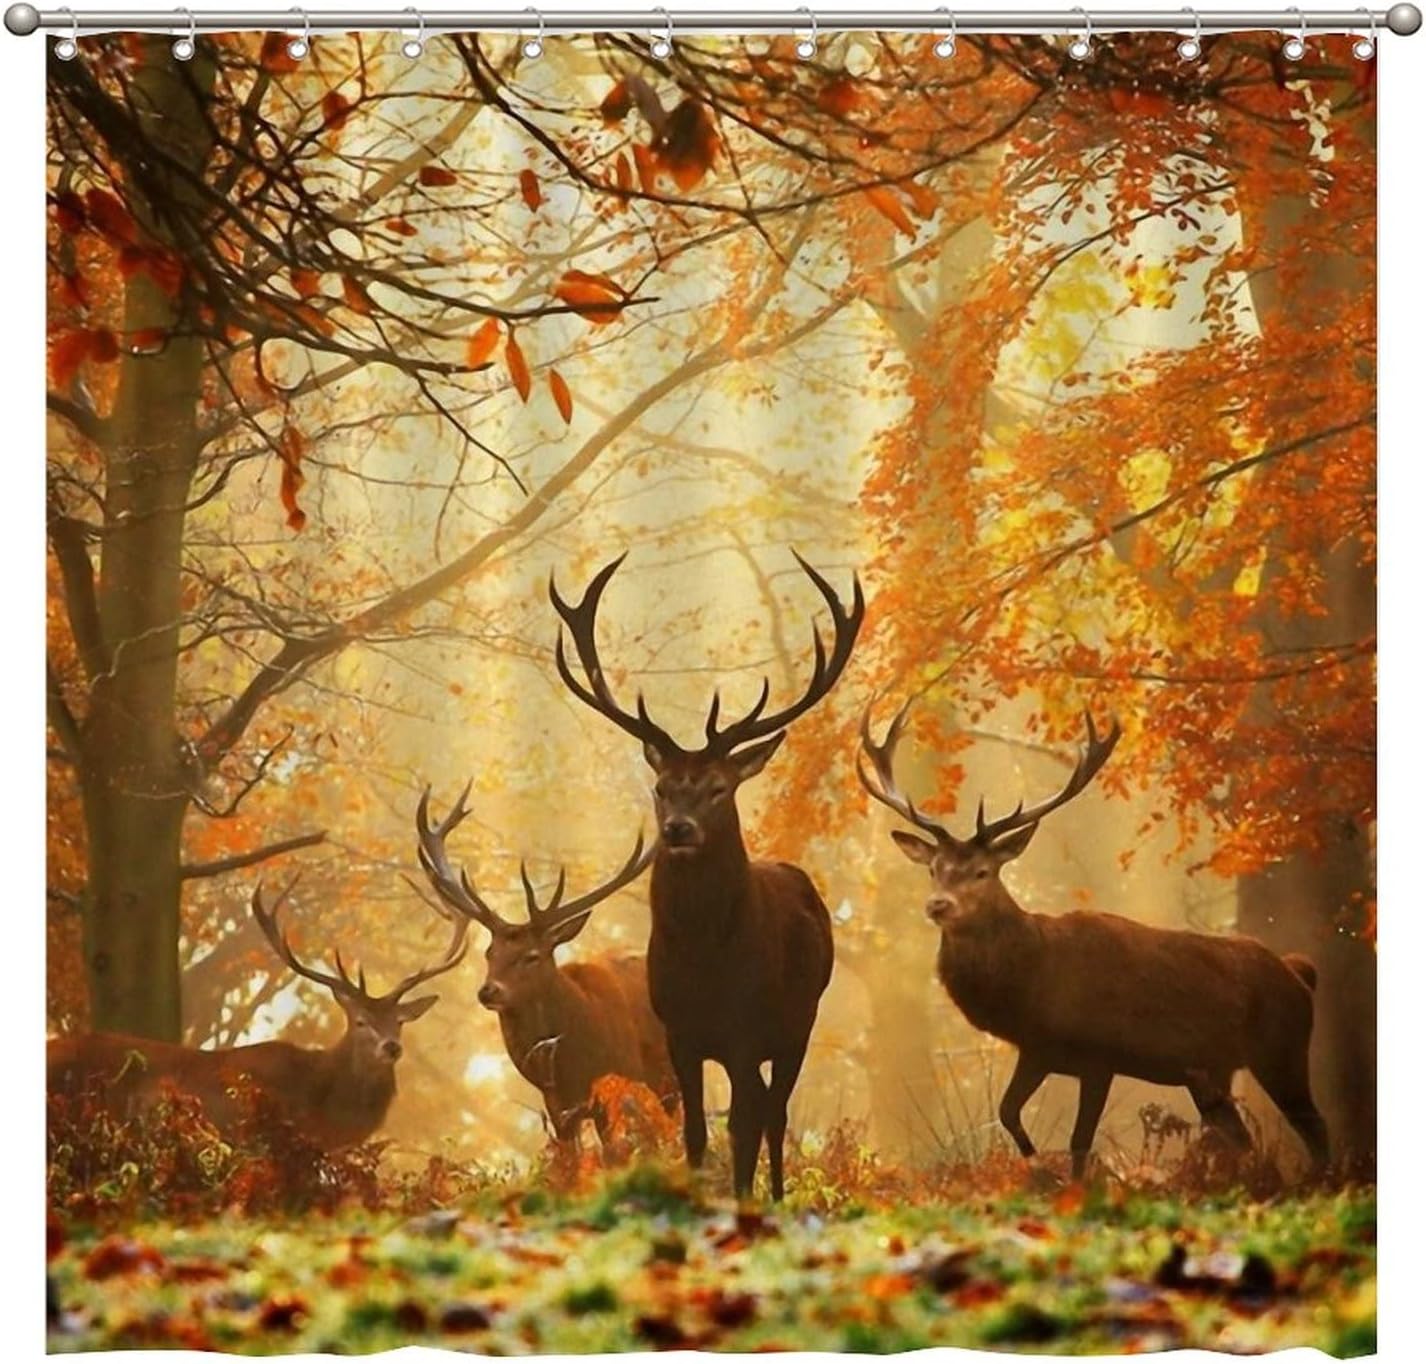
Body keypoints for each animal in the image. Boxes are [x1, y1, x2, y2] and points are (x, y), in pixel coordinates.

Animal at [550, 551, 864, 1199]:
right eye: (662, 787)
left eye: (719, 788)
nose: (678, 829)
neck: (705, 962)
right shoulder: (680, 1032)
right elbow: (694, 1130)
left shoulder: (746, 1030)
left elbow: (743, 1126)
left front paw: (743, 1200)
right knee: (765, 1108)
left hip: (800, 1020)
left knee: (775, 1113)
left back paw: (775, 1195)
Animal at [858, 703, 1330, 1180]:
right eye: (933, 868)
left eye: (981, 871)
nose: (937, 904)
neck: (1032, 985)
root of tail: (1299, 973)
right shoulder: (1038, 1049)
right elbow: (1008, 1112)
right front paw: (1036, 1167)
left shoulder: (1100, 1055)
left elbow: (1079, 1142)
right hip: (1211, 1072)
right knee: (1242, 1138)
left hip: (1282, 1048)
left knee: (1316, 1127)